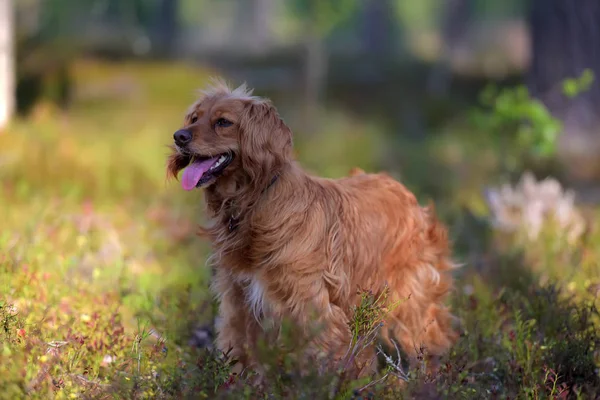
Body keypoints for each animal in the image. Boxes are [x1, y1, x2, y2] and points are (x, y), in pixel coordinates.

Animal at [166, 80, 458, 376]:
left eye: (223, 122)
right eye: (194, 118)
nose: (179, 136)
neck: (254, 203)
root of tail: (402, 189)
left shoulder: (312, 307)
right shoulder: (239, 301)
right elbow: (239, 350)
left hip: (412, 300)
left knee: (428, 344)